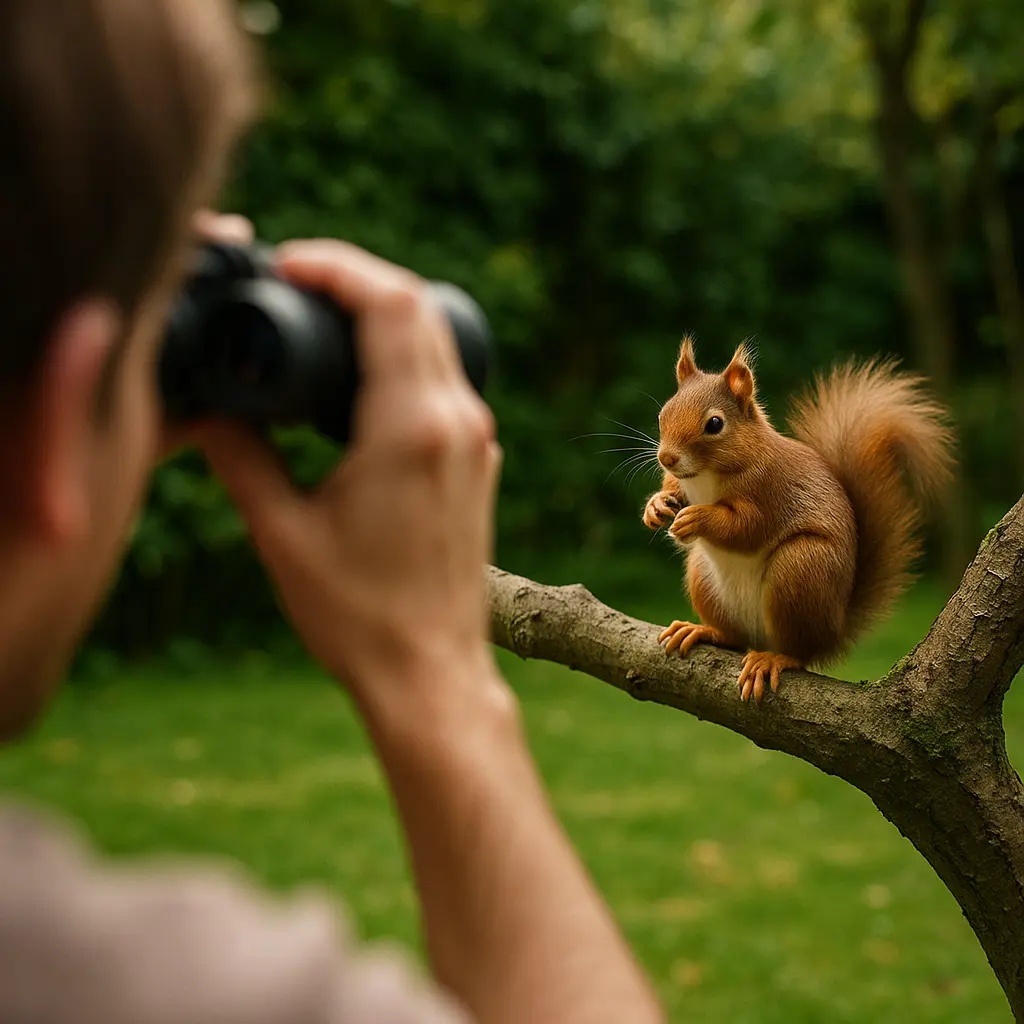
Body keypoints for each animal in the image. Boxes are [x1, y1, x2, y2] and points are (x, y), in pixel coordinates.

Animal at [642, 337, 954, 703]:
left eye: (715, 424)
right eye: (663, 413)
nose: (666, 457)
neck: (704, 476)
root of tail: (833, 630)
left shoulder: (769, 493)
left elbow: (745, 528)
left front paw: (697, 519)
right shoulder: (684, 483)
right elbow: (673, 488)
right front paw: (656, 506)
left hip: (800, 569)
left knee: (798, 652)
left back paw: (773, 658)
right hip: (702, 574)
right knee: (734, 638)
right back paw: (703, 630)